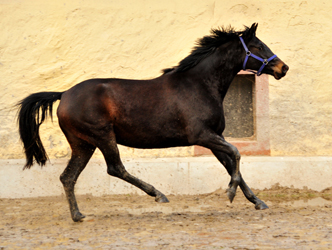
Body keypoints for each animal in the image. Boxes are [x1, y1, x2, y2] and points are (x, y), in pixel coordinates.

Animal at [17, 23, 288, 222]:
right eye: (258, 46)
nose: (282, 68)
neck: (200, 85)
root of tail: (64, 94)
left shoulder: (214, 138)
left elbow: (231, 163)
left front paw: (258, 202)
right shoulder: (202, 135)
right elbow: (236, 153)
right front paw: (230, 194)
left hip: (83, 144)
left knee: (68, 177)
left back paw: (77, 215)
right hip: (102, 136)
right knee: (114, 168)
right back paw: (158, 195)